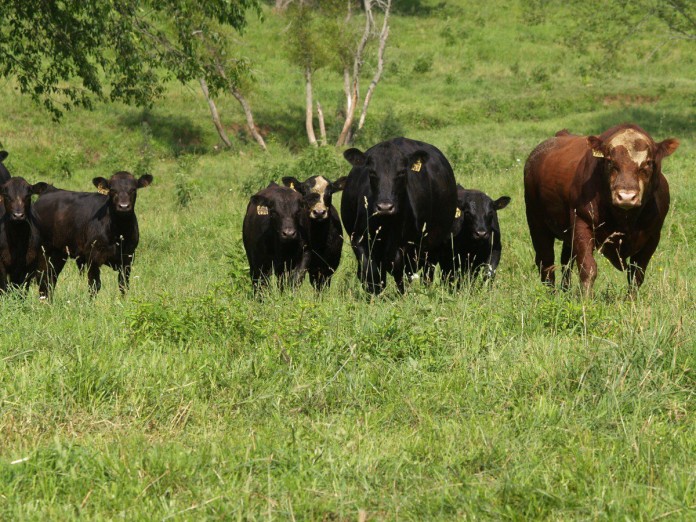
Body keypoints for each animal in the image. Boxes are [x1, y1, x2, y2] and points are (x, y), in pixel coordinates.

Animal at [341, 137, 457, 294]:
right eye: (372, 172)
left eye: (401, 172)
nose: (385, 207)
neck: (386, 225)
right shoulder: (359, 240)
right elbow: (371, 274)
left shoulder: (407, 246)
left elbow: (399, 273)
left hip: (434, 244)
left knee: (426, 274)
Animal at [524, 124, 678, 295]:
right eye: (610, 161)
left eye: (648, 163)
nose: (626, 196)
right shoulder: (582, 223)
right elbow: (588, 268)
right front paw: (586, 299)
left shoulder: (653, 236)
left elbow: (637, 274)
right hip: (536, 223)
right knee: (546, 263)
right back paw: (552, 295)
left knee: (566, 261)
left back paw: (565, 291)